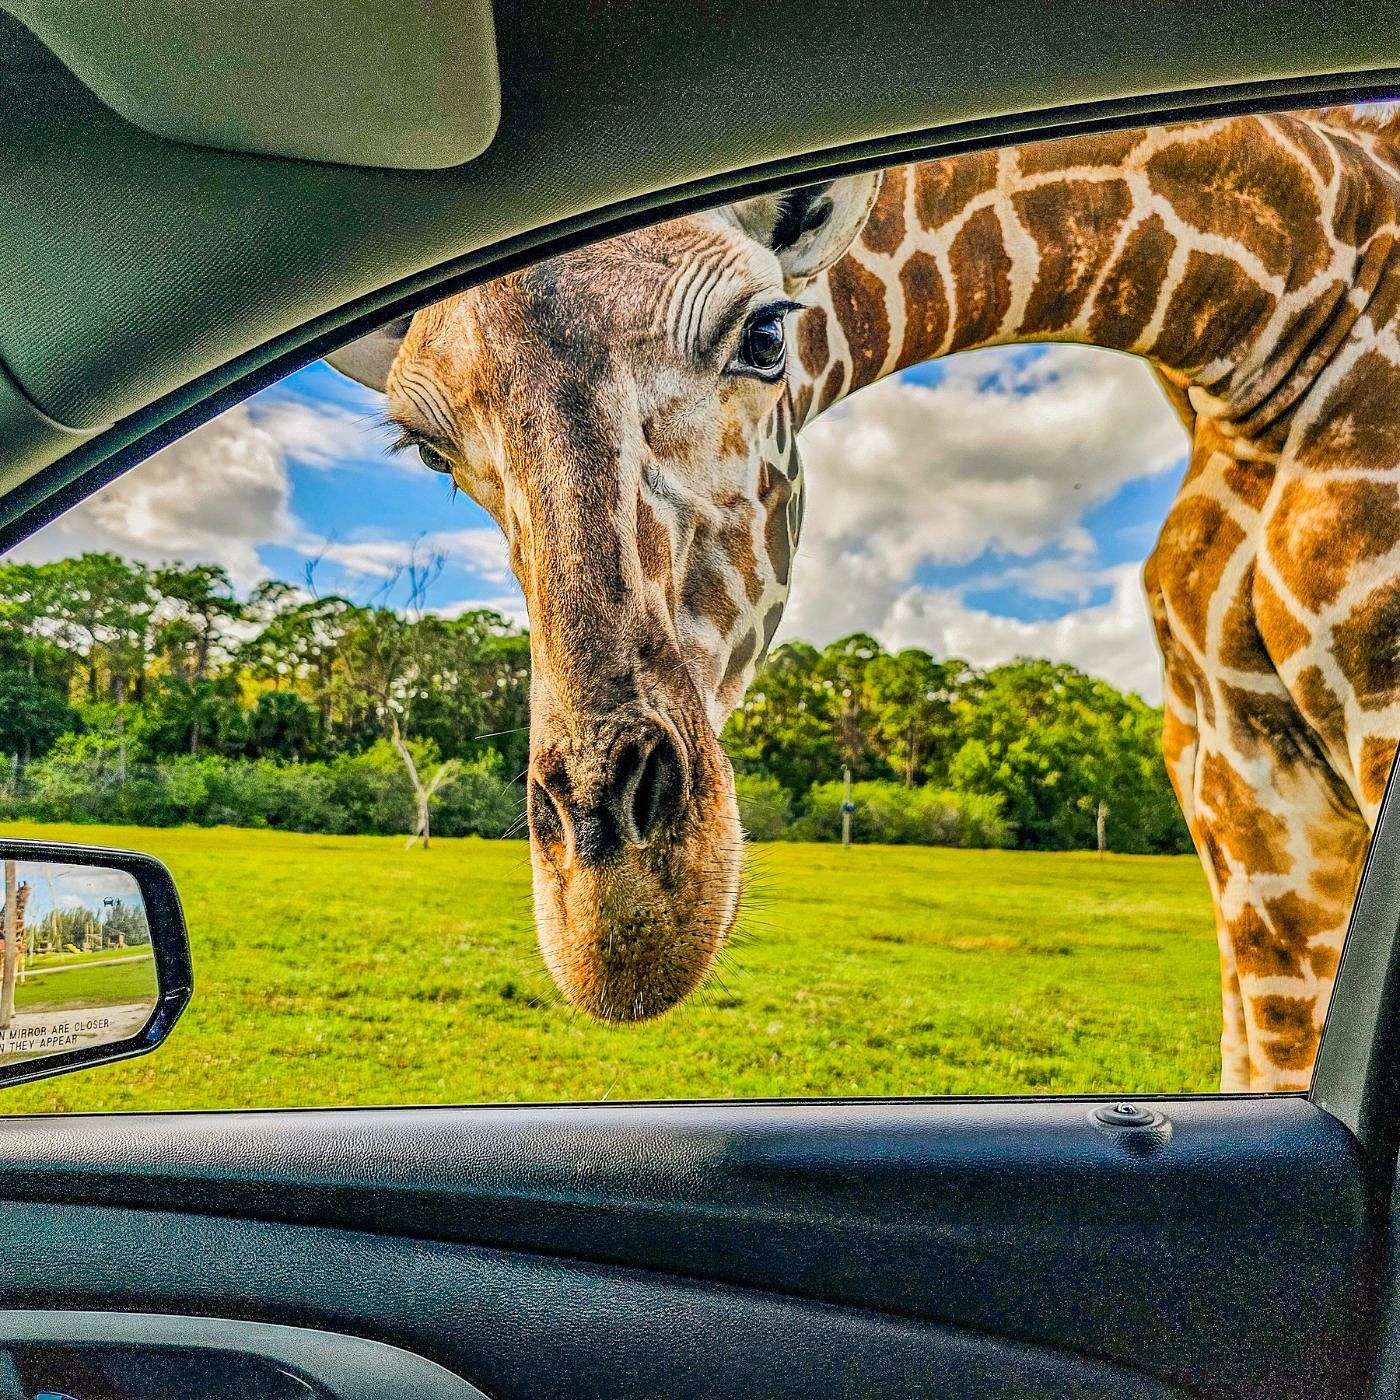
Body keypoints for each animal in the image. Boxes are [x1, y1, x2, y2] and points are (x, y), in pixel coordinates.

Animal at [329, 106, 1400, 1090]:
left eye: (766, 333)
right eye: (427, 450)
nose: (616, 912)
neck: (1269, 321)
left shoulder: (1366, 722)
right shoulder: (1236, 781)